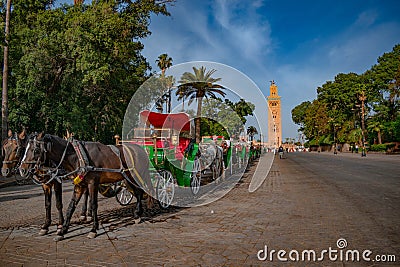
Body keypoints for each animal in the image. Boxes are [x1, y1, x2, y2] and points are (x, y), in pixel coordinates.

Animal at [19, 134, 150, 241]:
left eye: (35, 150)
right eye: (24, 149)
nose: (21, 169)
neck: (78, 156)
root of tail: (140, 149)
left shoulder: (92, 183)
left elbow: (93, 204)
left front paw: (93, 229)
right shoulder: (79, 185)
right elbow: (71, 206)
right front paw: (62, 231)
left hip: (134, 177)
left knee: (140, 192)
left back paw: (139, 213)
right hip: (128, 178)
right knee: (138, 192)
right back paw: (137, 214)